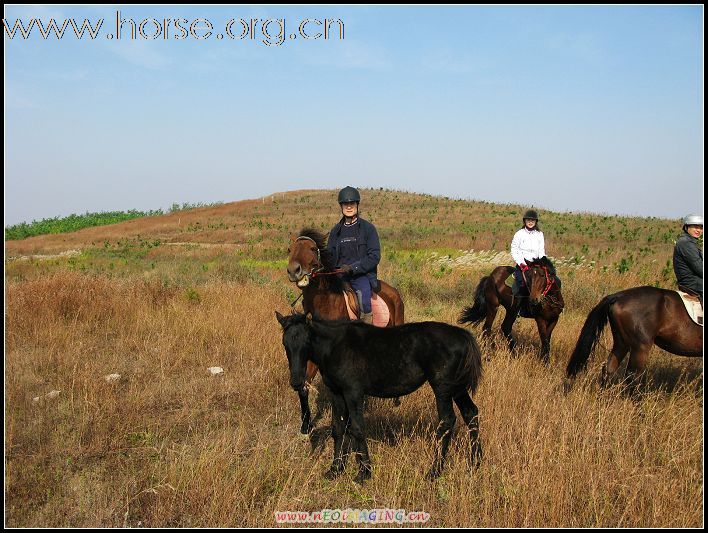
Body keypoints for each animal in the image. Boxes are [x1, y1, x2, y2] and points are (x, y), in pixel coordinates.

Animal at [274, 312, 484, 482]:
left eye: (307, 342)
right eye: (285, 343)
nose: (296, 382)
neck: (335, 346)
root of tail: (462, 335)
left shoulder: (353, 392)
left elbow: (357, 428)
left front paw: (364, 472)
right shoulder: (337, 392)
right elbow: (338, 428)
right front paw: (335, 470)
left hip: (442, 388)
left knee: (447, 421)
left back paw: (434, 471)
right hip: (457, 388)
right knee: (470, 412)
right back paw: (475, 464)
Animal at [284, 225, 404, 432]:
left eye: (312, 248)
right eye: (290, 250)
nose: (294, 270)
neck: (326, 303)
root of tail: (393, 292)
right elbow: (304, 384)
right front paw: (306, 425)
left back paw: (395, 400)